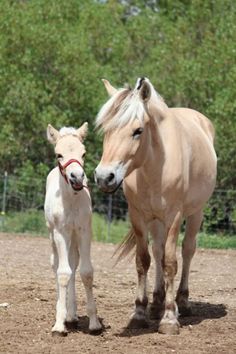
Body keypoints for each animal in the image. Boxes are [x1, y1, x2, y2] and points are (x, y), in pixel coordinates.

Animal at [44, 123, 101, 336]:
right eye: (58, 154)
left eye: (83, 153)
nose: (77, 177)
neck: (72, 201)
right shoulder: (61, 233)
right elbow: (62, 273)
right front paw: (59, 326)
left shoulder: (84, 231)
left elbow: (86, 272)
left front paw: (94, 323)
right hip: (53, 235)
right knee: (57, 265)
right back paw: (64, 314)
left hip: (74, 236)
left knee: (73, 264)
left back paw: (72, 315)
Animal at [95, 78, 217, 334]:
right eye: (106, 129)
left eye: (137, 131)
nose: (104, 177)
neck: (155, 166)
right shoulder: (138, 215)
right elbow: (143, 260)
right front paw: (140, 313)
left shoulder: (174, 216)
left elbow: (171, 263)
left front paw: (169, 318)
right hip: (156, 220)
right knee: (158, 250)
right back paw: (156, 302)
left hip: (195, 213)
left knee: (187, 251)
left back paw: (182, 302)